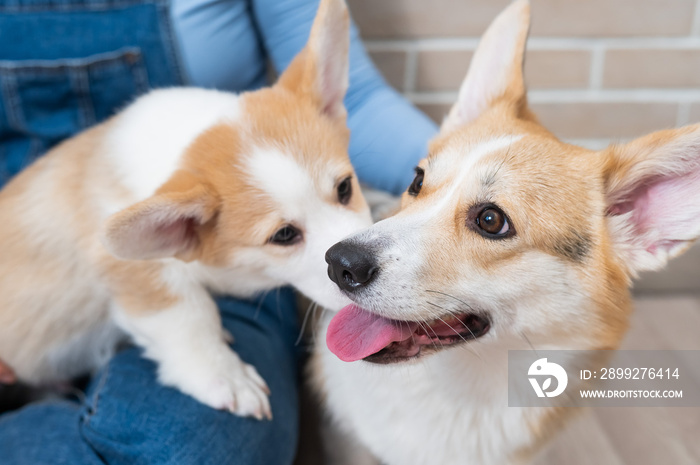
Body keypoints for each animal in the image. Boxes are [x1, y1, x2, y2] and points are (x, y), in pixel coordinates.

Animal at [0, 0, 372, 420]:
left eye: (344, 188)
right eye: (284, 235)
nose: (353, 268)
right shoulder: (135, 270)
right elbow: (188, 313)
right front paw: (225, 375)